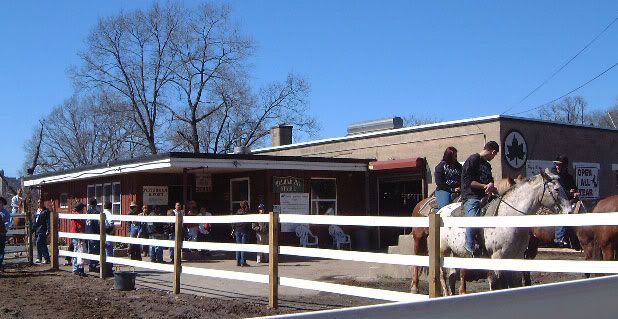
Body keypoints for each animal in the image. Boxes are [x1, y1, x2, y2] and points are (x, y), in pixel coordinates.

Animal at [436, 170, 572, 298]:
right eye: (557, 189)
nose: (570, 211)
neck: (508, 217)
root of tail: (440, 211)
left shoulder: (516, 257)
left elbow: (515, 284)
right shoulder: (497, 257)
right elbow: (497, 286)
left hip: (456, 252)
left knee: (452, 275)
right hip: (443, 251)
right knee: (443, 275)